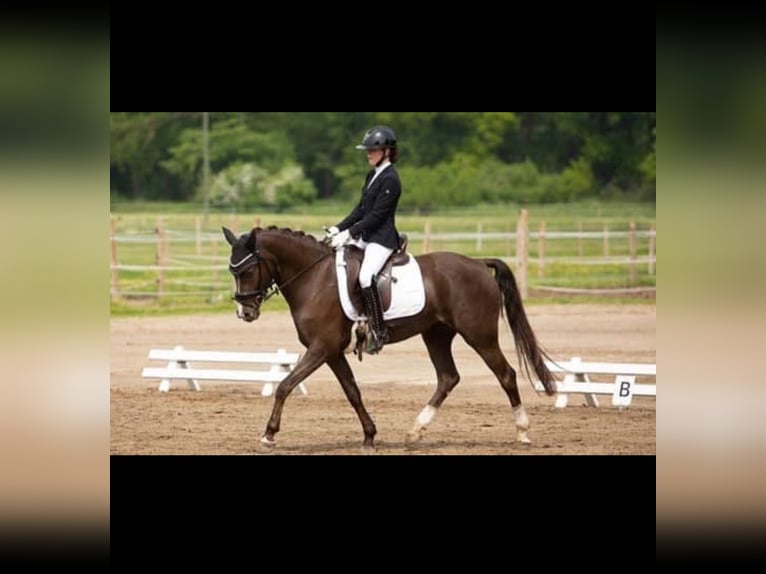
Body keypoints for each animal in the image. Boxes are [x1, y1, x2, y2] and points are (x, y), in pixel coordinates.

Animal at [224, 227, 560, 452]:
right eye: (232, 269)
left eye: (248, 269)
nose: (245, 312)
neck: (314, 278)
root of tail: (478, 263)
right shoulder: (332, 352)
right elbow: (352, 391)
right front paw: (369, 436)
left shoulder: (321, 348)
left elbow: (285, 385)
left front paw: (268, 435)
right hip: (436, 335)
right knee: (448, 377)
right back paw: (415, 432)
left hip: (480, 335)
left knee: (506, 375)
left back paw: (522, 432)